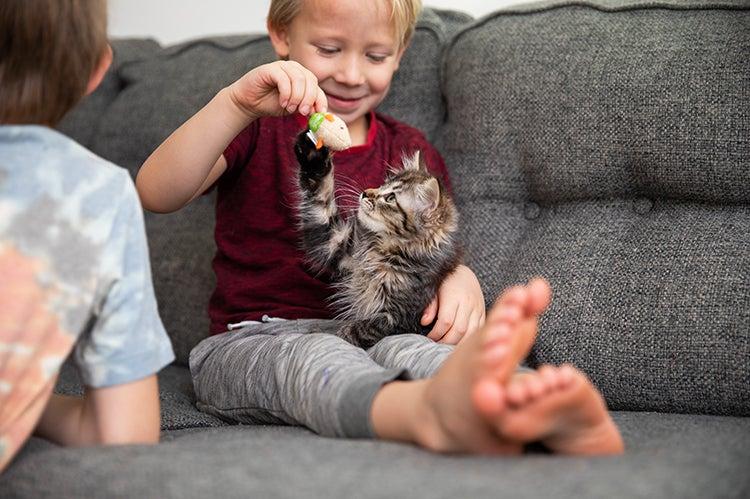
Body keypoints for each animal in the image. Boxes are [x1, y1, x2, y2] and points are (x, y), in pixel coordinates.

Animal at [296, 130, 462, 348]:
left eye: (390, 198)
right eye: (383, 184)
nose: (365, 193)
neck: (381, 248)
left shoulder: (400, 318)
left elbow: (359, 330)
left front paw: (334, 334)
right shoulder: (334, 242)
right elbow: (321, 202)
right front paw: (313, 155)